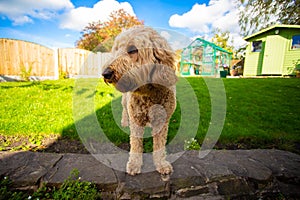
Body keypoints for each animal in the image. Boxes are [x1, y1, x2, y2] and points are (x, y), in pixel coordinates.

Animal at [102, 25, 177, 175]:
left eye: (132, 49)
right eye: (116, 49)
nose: (105, 73)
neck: (149, 92)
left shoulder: (162, 121)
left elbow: (159, 145)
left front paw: (161, 164)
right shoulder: (136, 119)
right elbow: (136, 144)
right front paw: (134, 164)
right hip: (125, 103)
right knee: (125, 111)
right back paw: (124, 122)